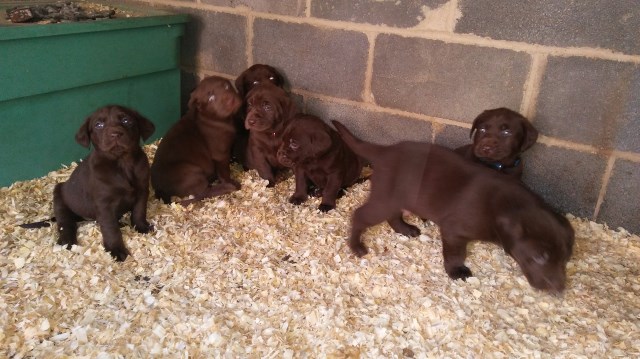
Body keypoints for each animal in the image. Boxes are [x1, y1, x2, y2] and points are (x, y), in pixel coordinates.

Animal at [53, 104, 155, 262]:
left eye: (126, 120)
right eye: (98, 125)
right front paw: (116, 250)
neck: (122, 163)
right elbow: (110, 228)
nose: (115, 134)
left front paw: (141, 227)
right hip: (59, 196)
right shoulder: (104, 204)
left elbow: (139, 211)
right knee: (66, 224)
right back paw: (66, 240)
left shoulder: (142, 191)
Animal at [151, 76, 244, 205]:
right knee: (203, 193)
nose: (231, 100)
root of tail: (158, 189)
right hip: (191, 172)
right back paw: (227, 187)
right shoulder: (220, 155)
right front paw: (230, 182)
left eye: (226, 86)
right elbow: (224, 172)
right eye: (211, 98)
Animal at [336, 119, 576, 294]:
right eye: (539, 258)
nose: (559, 290)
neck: (503, 207)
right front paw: (456, 272)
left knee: (394, 217)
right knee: (360, 215)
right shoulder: (454, 230)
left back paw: (406, 229)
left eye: (565, 259)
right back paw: (356, 246)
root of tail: (385, 151)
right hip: (385, 198)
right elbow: (455, 253)